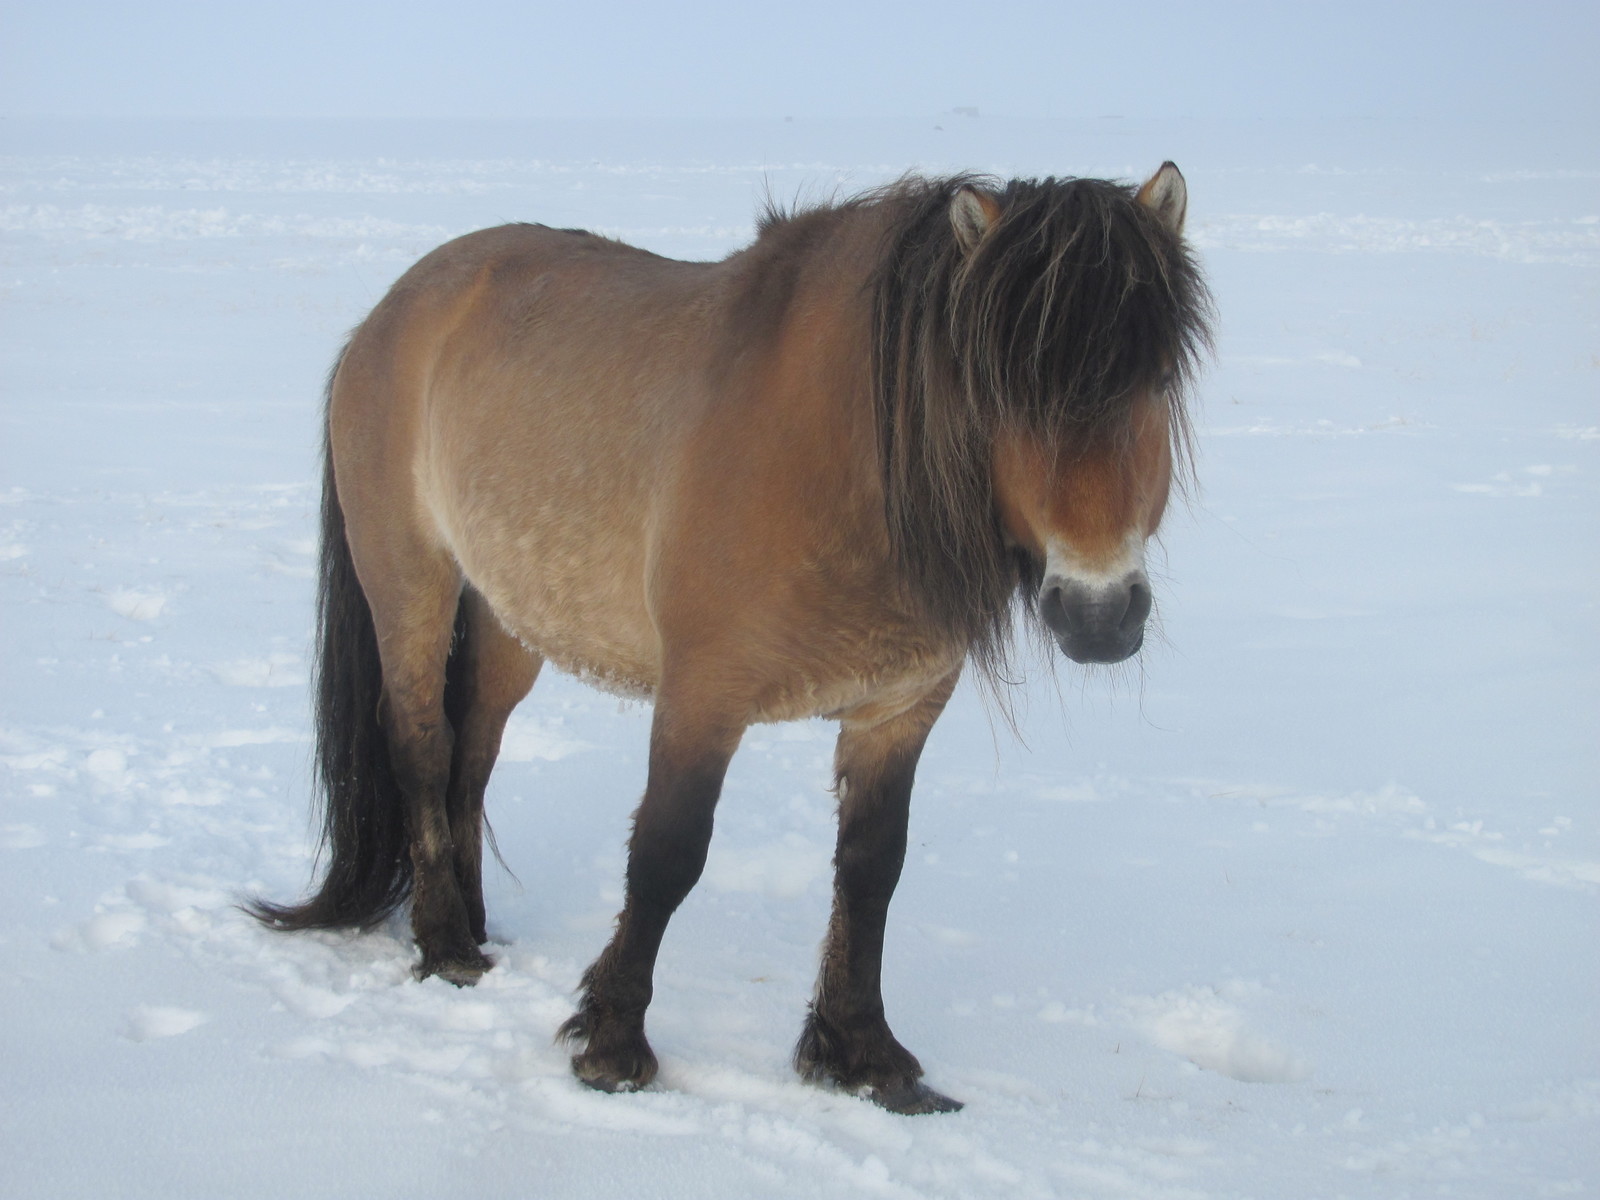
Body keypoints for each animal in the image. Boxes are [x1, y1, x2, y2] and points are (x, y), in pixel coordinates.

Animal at [243, 162, 1203, 1120]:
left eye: (1158, 381)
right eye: (1002, 393)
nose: (1099, 614)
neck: (840, 456)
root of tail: (395, 310)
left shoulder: (897, 711)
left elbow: (872, 870)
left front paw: (864, 1056)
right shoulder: (703, 696)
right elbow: (667, 854)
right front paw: (612, 1046)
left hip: (508, 617)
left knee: (471, 759)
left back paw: (478, 930)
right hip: (413, 584)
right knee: (420, 747)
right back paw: (445, 947)